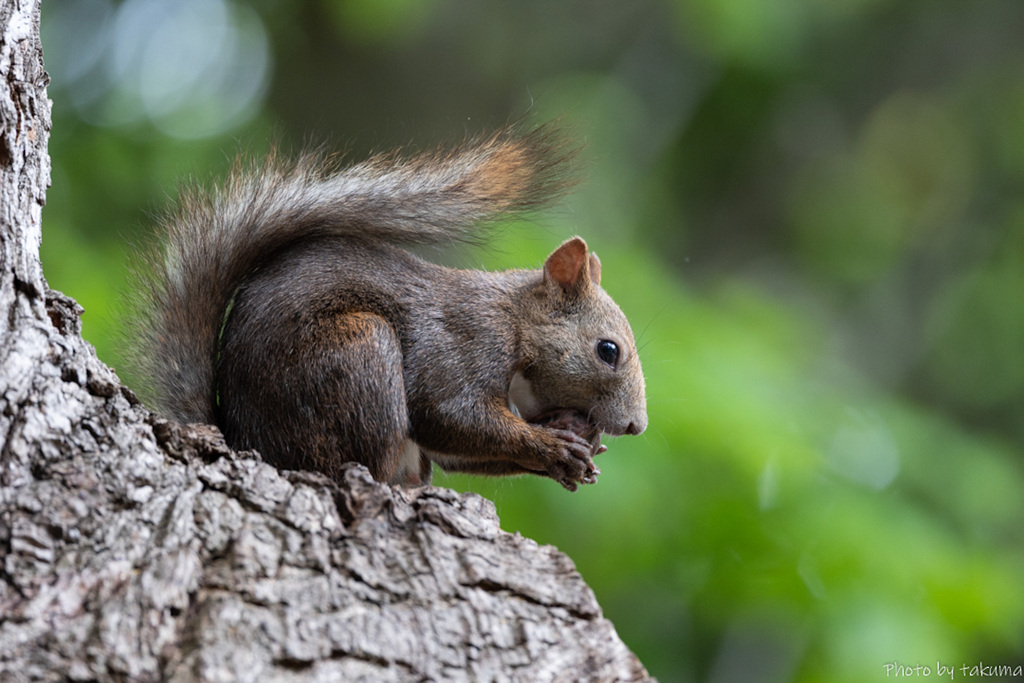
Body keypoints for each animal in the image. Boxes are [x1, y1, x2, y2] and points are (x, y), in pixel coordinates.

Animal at [134, 126, 647, 491]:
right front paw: (553, 447)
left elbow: (457, 450)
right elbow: (448, 415)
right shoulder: (461, 345)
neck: (514, 324)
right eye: (608, 350)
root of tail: (244, 436)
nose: (636, 426)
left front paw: (568, 441)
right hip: (358, 355)